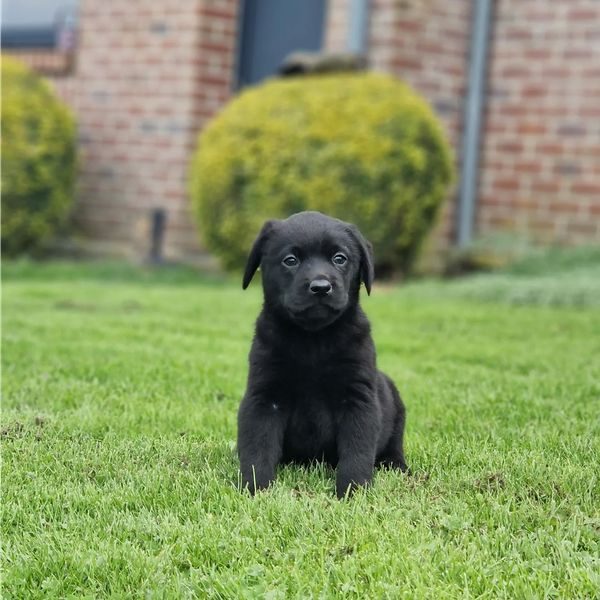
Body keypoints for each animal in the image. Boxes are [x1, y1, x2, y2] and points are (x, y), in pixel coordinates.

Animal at [236, 211, 408, 496]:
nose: (320, 287)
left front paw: (353, 490)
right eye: (290, 260)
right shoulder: (264, 397)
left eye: (339, 258)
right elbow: (257, 446)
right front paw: (255, 489)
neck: (313, 340)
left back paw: (396, 465)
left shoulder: (357, 398)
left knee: (394, 443)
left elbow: (357, 451)